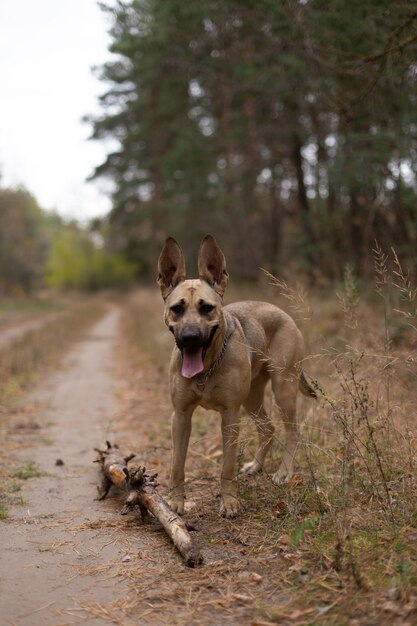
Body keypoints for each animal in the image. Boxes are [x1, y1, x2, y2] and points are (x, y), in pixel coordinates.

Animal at [157, 234, 316, 516]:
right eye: (177, 309)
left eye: (207, 308)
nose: (190, 338)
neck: (206, 368)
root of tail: (282, 311)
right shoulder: (181, 416)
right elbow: (177, 465)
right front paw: (175, 501)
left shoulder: (230, 416)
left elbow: (228, 466)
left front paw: (229, 501)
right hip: (252, 398)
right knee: (267, 428)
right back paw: (256, 466)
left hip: (283, 389)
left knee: (292, 432)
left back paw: (284, 472)